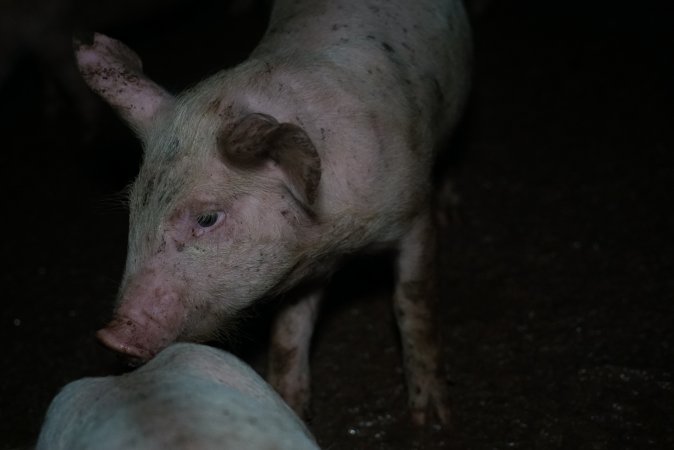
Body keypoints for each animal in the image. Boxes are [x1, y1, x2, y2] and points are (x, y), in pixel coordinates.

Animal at [73, 0, 470, 426]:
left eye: (207, 218)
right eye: (136, 209)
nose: (112, 336)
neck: (333, 239)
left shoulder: (413, 216)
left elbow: (413, 301)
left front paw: (432, 419)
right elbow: (290, 329)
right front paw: (289, 405)